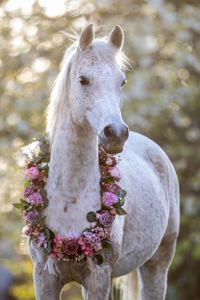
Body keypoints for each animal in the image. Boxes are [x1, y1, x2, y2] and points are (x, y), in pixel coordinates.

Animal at [29, 25, 180, 300]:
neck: (70, 197)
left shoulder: (98, 277)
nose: (116, 133)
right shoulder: (44, 278)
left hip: (157, 265)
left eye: (122, 81)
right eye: (83, 80)